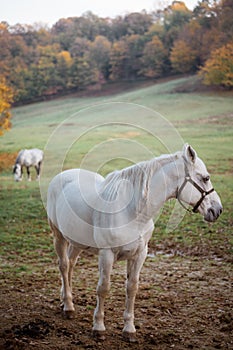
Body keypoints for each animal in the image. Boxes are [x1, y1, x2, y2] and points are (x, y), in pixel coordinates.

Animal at [46, 144, 222, 342]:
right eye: (205, 178)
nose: (217, 210)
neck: (133, 212)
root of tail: (62, 176)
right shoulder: (106, 254)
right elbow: (103, 288)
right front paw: (98, 327)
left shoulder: (140, 254)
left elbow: (132, 288)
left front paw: (129, 329)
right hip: (58, 236)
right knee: (63, 265)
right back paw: (68, 306)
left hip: (76, 242)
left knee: (70, 265)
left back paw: (65, 300)